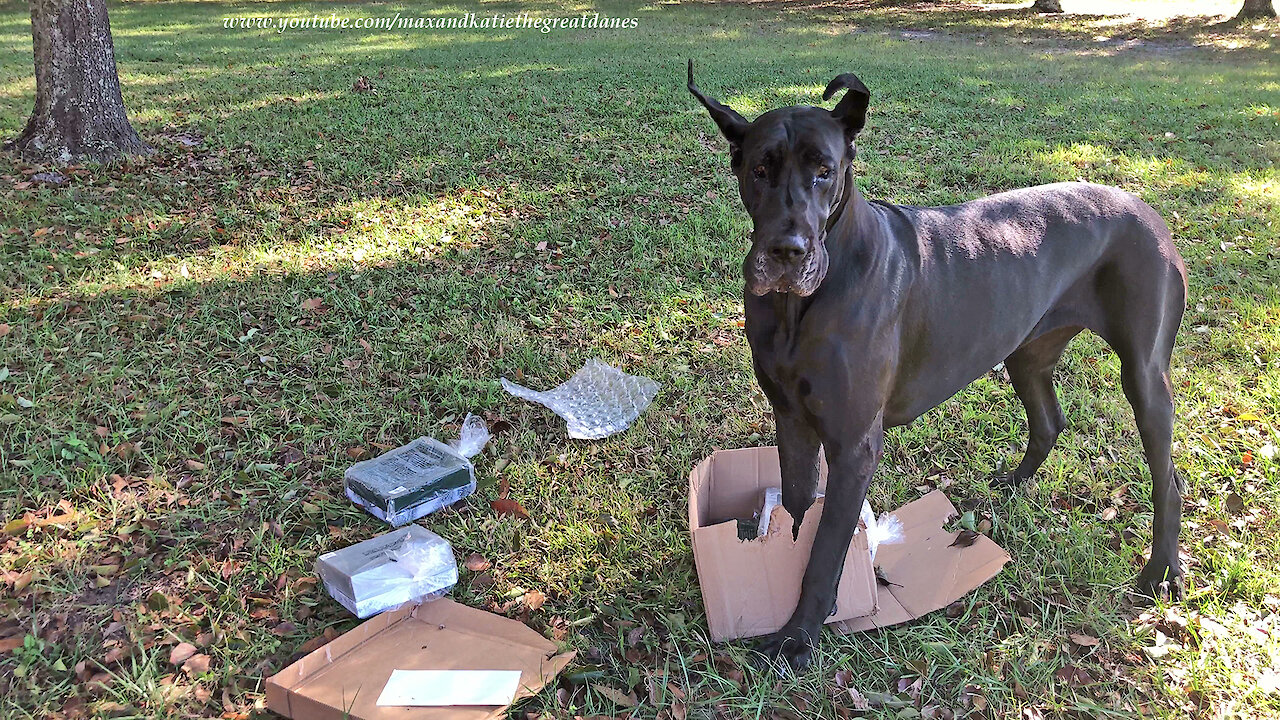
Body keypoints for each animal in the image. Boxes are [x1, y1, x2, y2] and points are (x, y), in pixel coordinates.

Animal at [691, 60, 1187, 666]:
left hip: (1144, 371)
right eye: (759, 169)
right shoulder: (792, 420)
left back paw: (1161, 570)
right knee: (1049, 421)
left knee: (1168, 476)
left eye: (824, 172)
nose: (788, 251)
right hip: (1026, 351)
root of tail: (1146, 208)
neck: (797, 307)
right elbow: (797, 509)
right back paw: (1008, 488)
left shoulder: (854, 444)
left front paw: (799, 635)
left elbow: (827, 547)